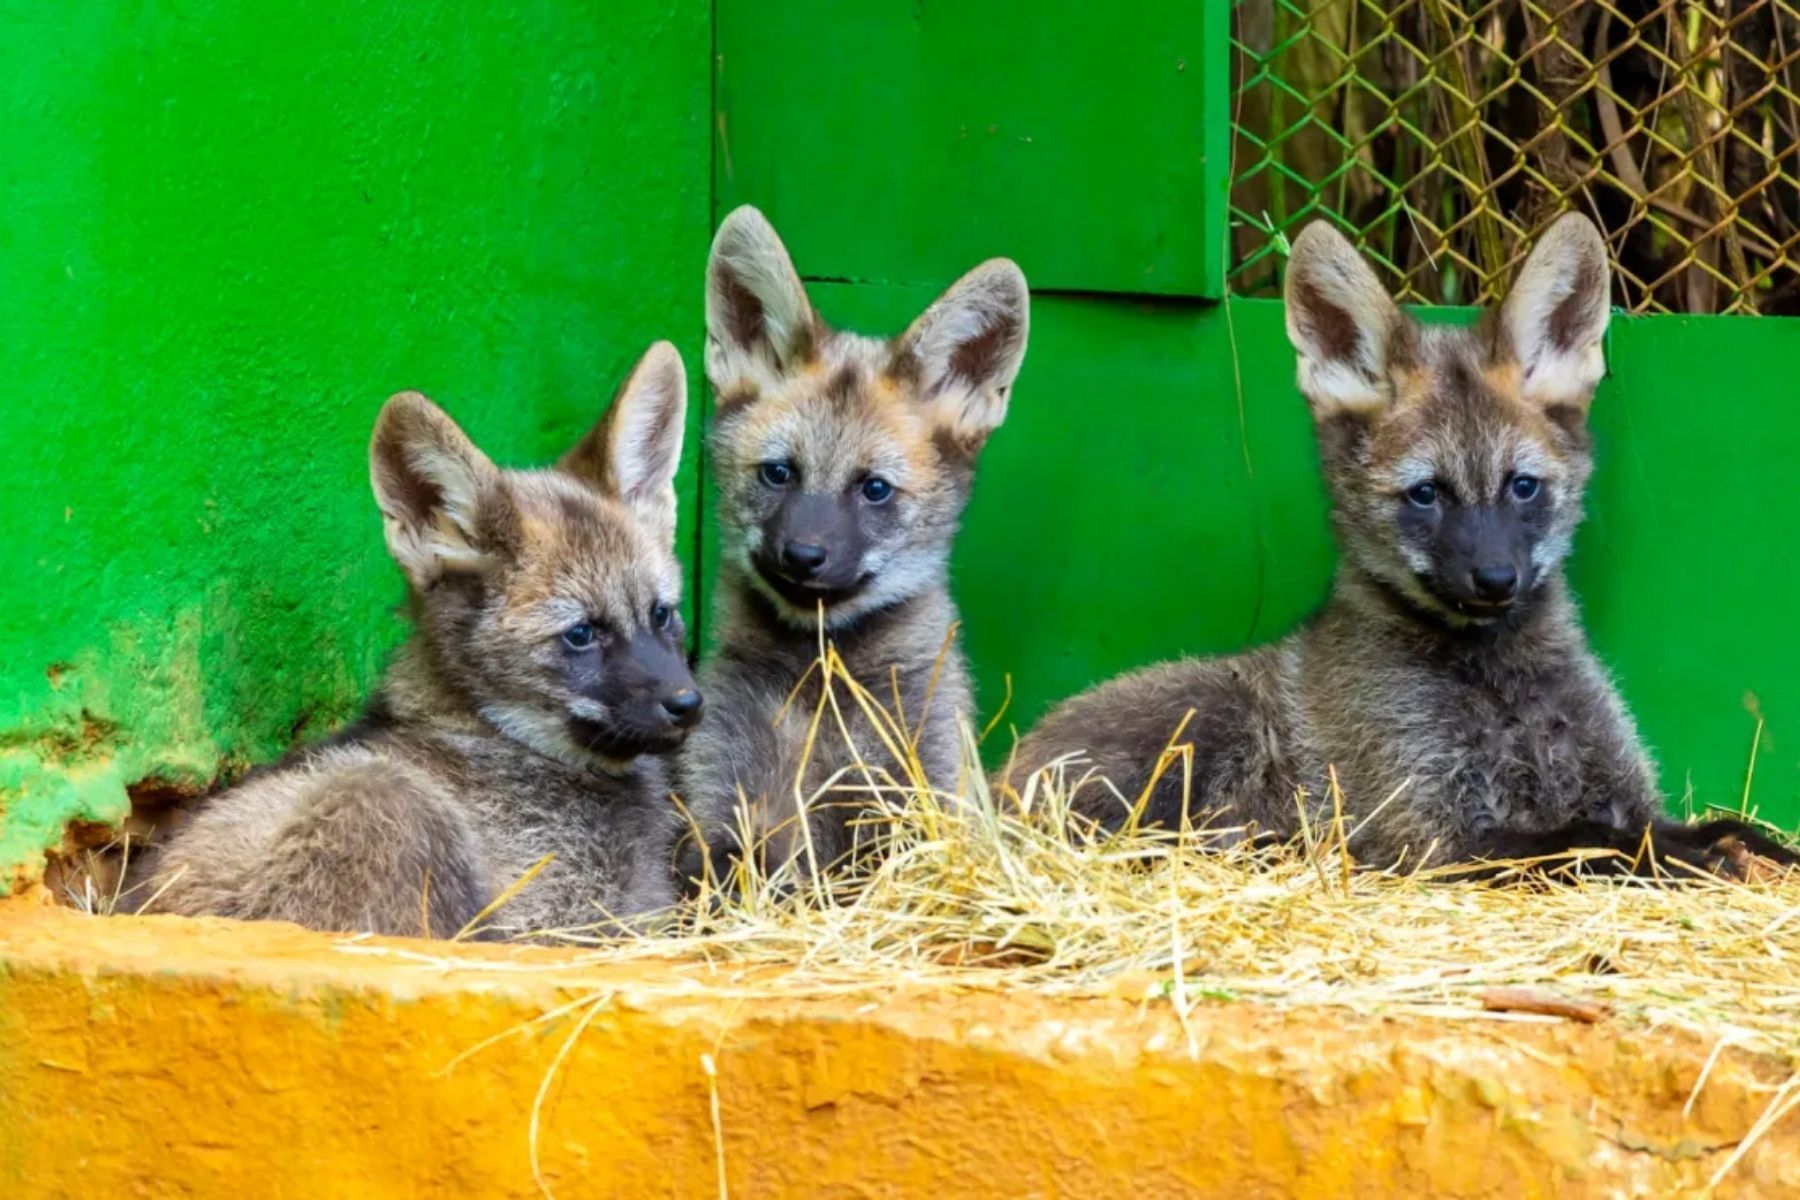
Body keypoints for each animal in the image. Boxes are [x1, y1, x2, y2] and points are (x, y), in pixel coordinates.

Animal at [142, 342, 704, 936]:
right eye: (581, 633)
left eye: (661, 614)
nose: (687, 703)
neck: (495, 737)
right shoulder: (557, 923)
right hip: (382, 797)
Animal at [676, 206, 1028, 886]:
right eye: (778, 473)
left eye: (874, 489)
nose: (802, 556)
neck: (821, 689)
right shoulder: (720, 805)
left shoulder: (928, 790)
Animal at [1000, 215, 1796, 878]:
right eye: (1426, 494)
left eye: (1522, 487)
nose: (1495, 580)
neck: (1502, 688)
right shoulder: (1432, 835)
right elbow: (1590, 839)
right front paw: (1680, 860)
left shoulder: (1620, 790)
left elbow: (1711, 827)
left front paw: (1745, 849)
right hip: (1206, 728)